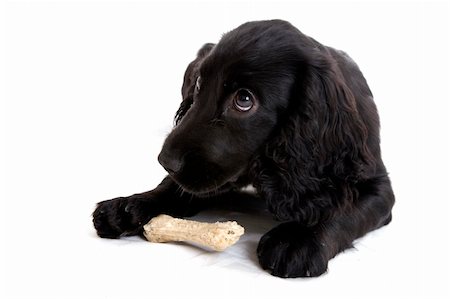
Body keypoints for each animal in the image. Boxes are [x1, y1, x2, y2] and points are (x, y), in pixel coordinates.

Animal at [94, 20, 394, 278]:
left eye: (244, 100)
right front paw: (129, 206)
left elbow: (343, 208)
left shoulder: (376, 186)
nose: (165, 160)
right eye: (199, 83)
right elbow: (173, 187)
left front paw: (298, 239)